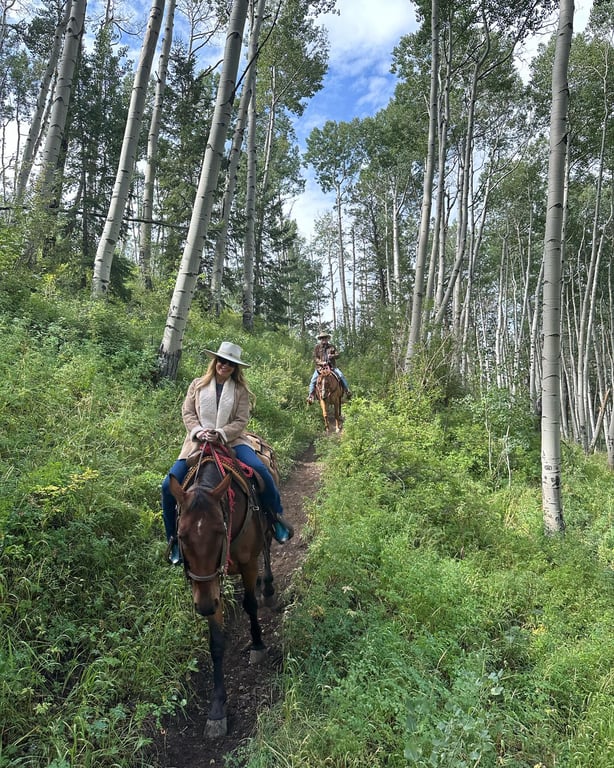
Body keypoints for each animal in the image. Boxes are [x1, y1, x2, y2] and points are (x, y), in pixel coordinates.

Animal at [168, 456, 274, 736]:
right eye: (181, 536)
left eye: (218, 531)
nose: (205, 606)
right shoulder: (208, 586)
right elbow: (216, 642)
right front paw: (217, 709)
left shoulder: (247, 564)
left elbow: (250, 604)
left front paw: (257, 645)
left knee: (268, 547)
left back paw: (268, 588)